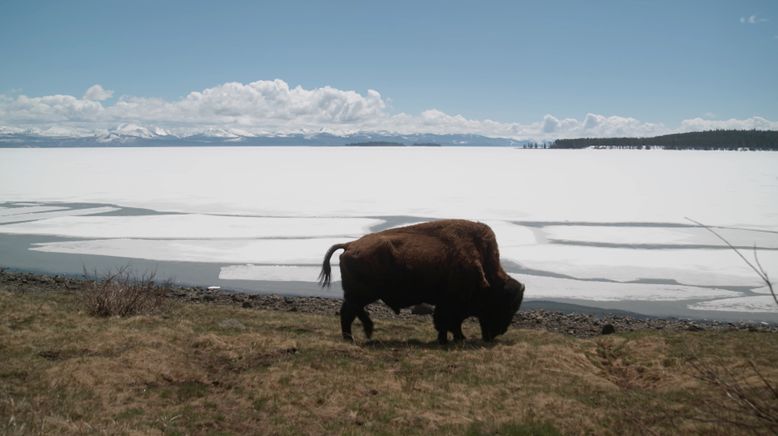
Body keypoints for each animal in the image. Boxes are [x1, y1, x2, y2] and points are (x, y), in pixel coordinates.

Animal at [318, 220, 524, 342]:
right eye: (506, 305)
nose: (499, 332)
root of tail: (349, 245)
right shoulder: (452, 304)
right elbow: (449, 322)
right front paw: (456, 339)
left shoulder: (447, 304)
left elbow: (446, 322)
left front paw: (448, 339)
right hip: (361, 294)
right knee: (349, 312)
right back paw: (356, 336)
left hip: (359, 294)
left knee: (351, 311)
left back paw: (361, 334)